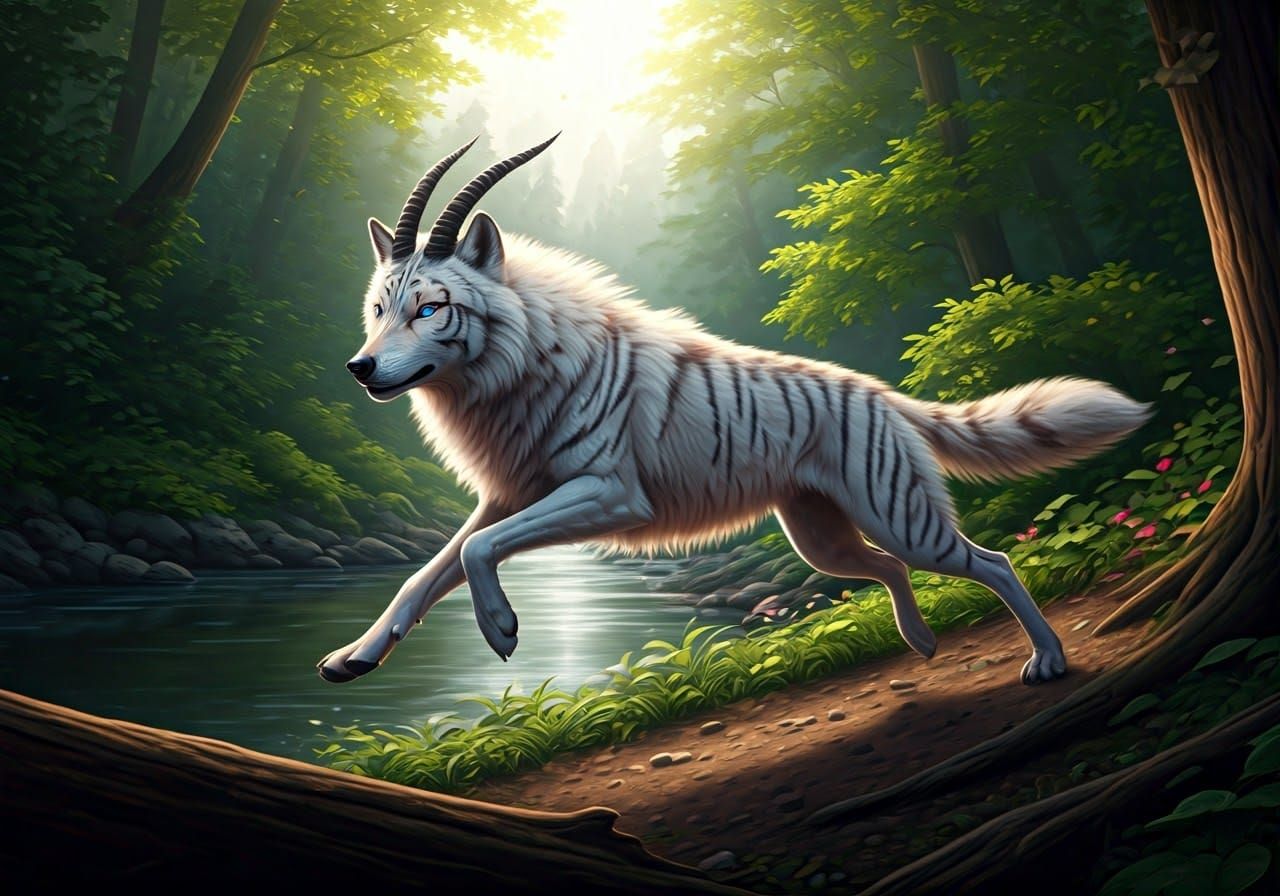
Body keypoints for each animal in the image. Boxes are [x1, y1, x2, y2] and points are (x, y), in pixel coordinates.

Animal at [318, 135, 1150, 687]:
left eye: (430, 309)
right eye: (379, 309)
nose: (359, 368)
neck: (531, 368)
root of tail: (881, 392)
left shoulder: (606, 495)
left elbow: (474, 555)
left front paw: (501, 631)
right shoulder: (506, 498)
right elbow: (427, 574)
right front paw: (352, 658)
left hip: (903, 524)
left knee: (996, 562)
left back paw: (1047, 659)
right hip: (826, 541)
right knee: (889, 571)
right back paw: (921, 645)